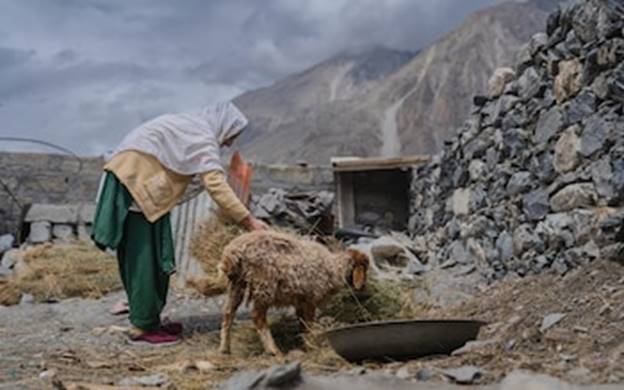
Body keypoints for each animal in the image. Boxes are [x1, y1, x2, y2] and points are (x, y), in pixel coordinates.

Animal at [217, 230, 368, 354]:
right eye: (364, 267)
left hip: (236, 285)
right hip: (264, 286)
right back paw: (273, 350)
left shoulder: (300, 301)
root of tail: (232, 252)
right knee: (257, 316)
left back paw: (225, 348)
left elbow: (302, 323)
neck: (334, 268)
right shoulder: (311, 298)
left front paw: (305, 342)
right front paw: (312, 343)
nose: (364, 287)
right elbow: (309, 323)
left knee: (228, 313)